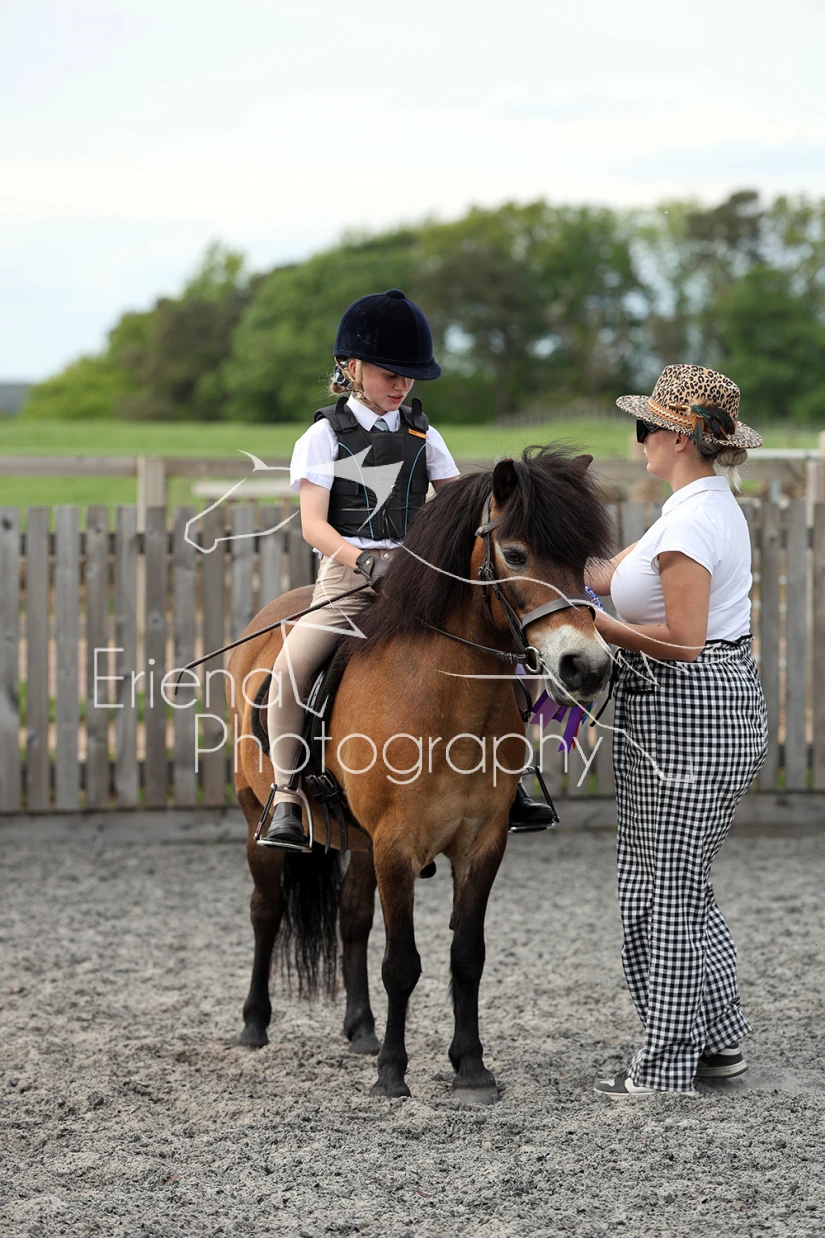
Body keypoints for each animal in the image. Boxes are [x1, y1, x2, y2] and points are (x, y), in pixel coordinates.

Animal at [226, 446, 614, 1102]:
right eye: (515, 554)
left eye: (582, 558)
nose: (584, 666)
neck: (446, 700)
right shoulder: (396, 845)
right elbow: (402, 963)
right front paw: (392, 1073)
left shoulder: (481, 844)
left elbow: (467, 955)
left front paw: (471, 1067)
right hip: (259, 814)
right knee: (266, 909)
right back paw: (256, 1024)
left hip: (358, 839)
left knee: (352, 919)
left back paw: (360, 1028)